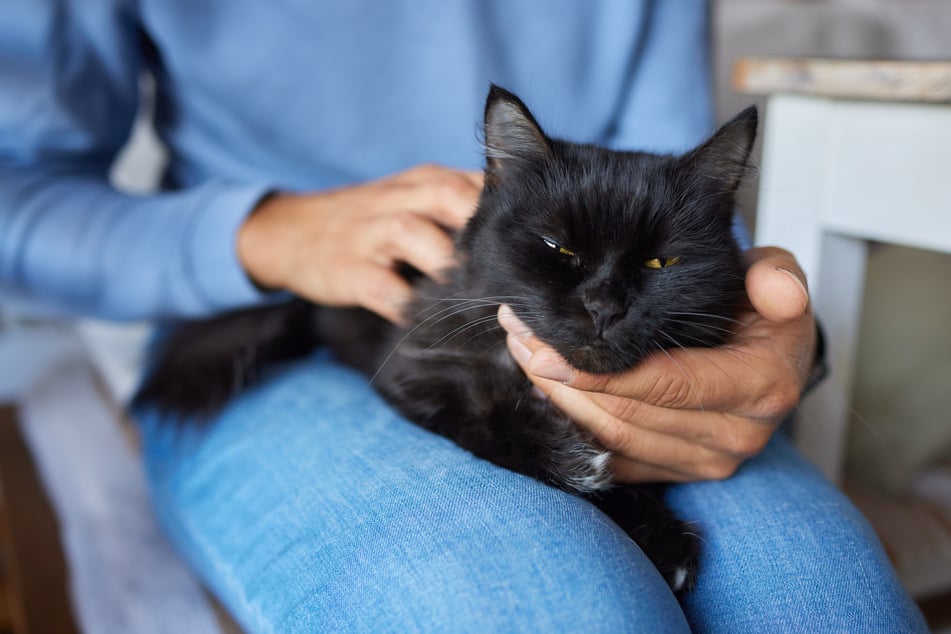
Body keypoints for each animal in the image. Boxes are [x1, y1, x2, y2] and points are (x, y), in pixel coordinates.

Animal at [136, 85, 760, 592]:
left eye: (660, 262)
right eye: (558, 248)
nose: (604, 306)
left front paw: (659, 532)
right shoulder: (417, 372)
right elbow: (492, 422)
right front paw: (585, 472)